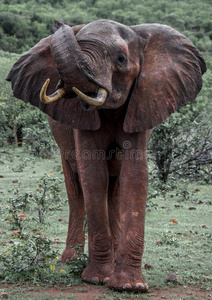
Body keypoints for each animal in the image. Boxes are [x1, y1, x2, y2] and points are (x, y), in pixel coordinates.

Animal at [6, 18, 205, 290]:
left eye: (121, 59)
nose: (59, 23)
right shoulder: (80, 117)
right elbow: (93, 175)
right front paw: (97, 279)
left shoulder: (142, 102)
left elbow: (135, 175)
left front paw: (128, 286)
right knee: (75, 187)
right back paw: (71, 259)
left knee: (115, 187)